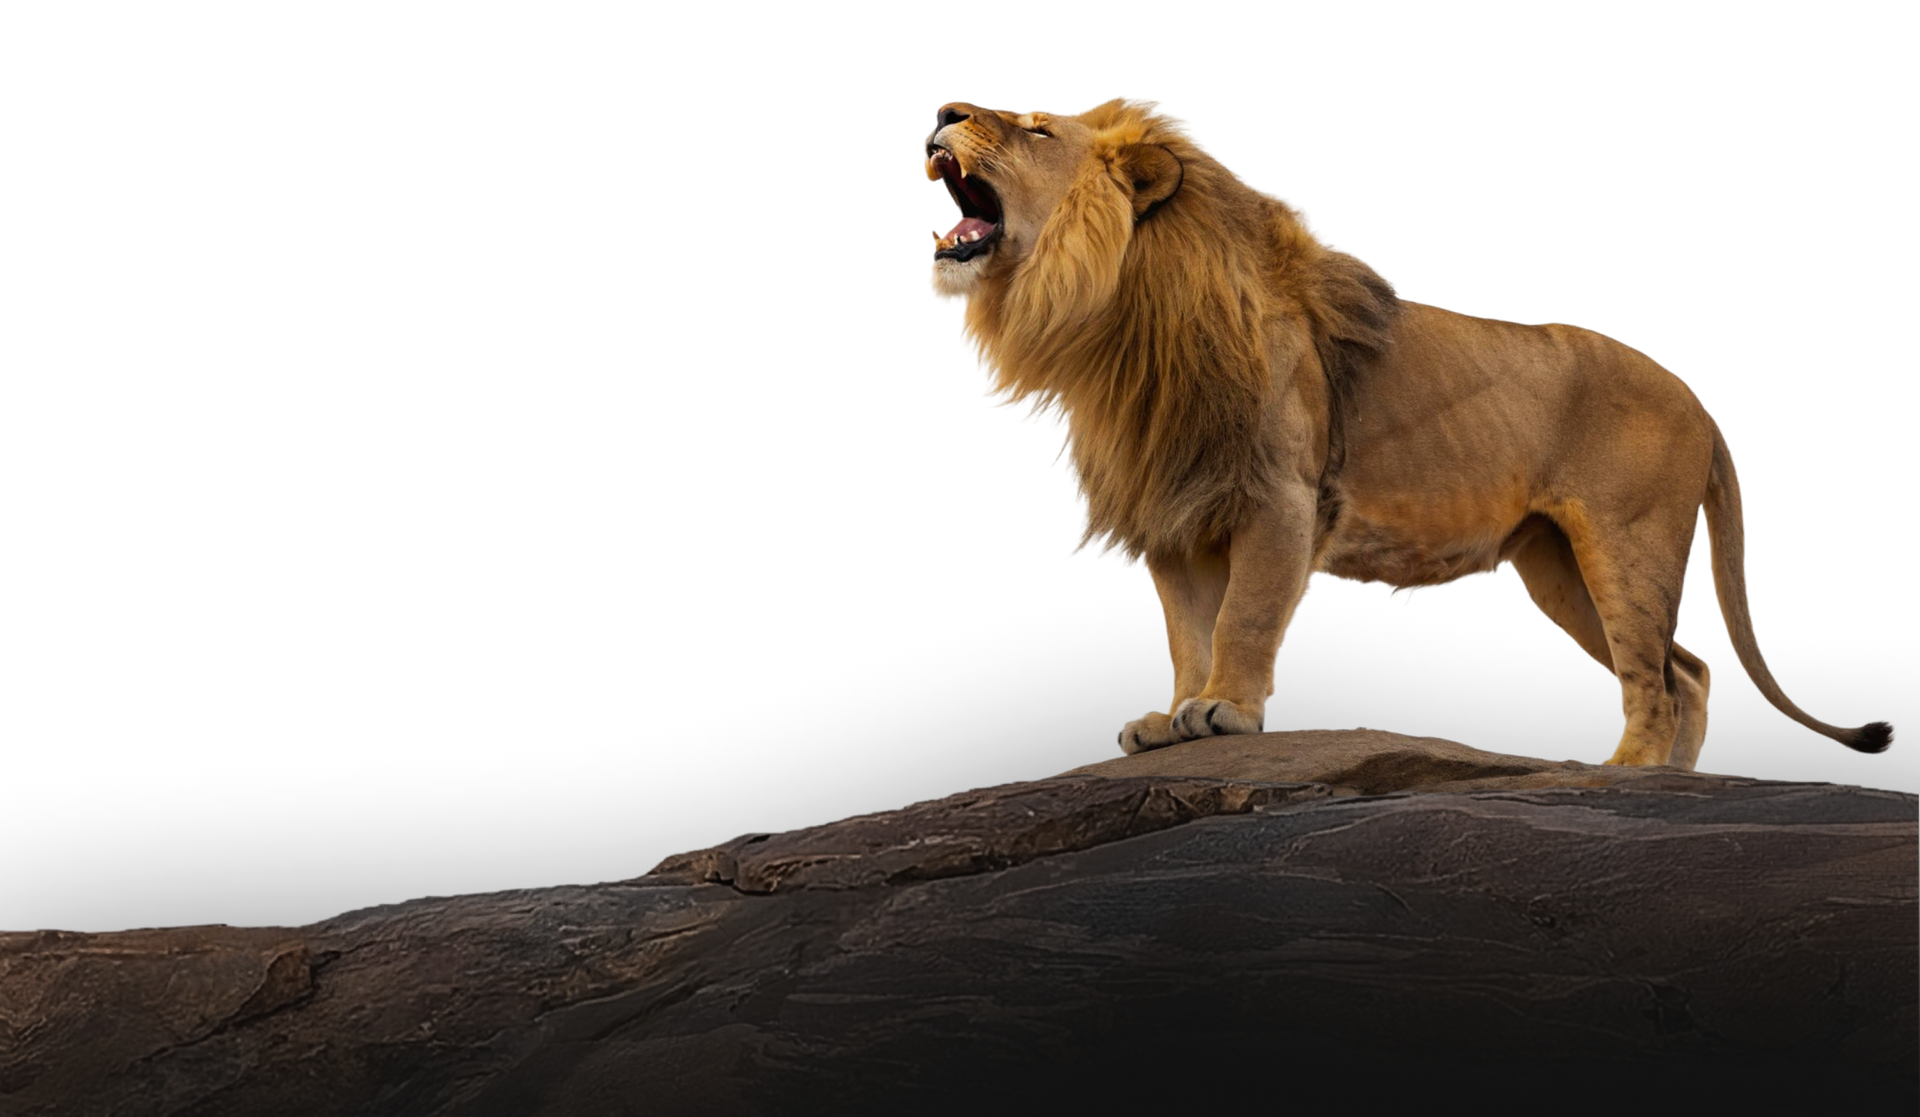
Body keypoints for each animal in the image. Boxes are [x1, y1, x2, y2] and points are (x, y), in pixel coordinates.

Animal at [921, 94, 1894, 770]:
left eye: (1036, 129)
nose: (939, 113)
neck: (1116, 314)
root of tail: (1698, 396)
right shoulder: (1179, 522)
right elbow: (1188, 636)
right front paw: (1173, 720)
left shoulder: (1279, 500)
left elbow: (1242, 619)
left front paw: (1226, 711)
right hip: (1559, 566)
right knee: (1684, 671)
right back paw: (1667, 785)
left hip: (1627, 545)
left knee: (1657, 677)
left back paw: (1623, 772)